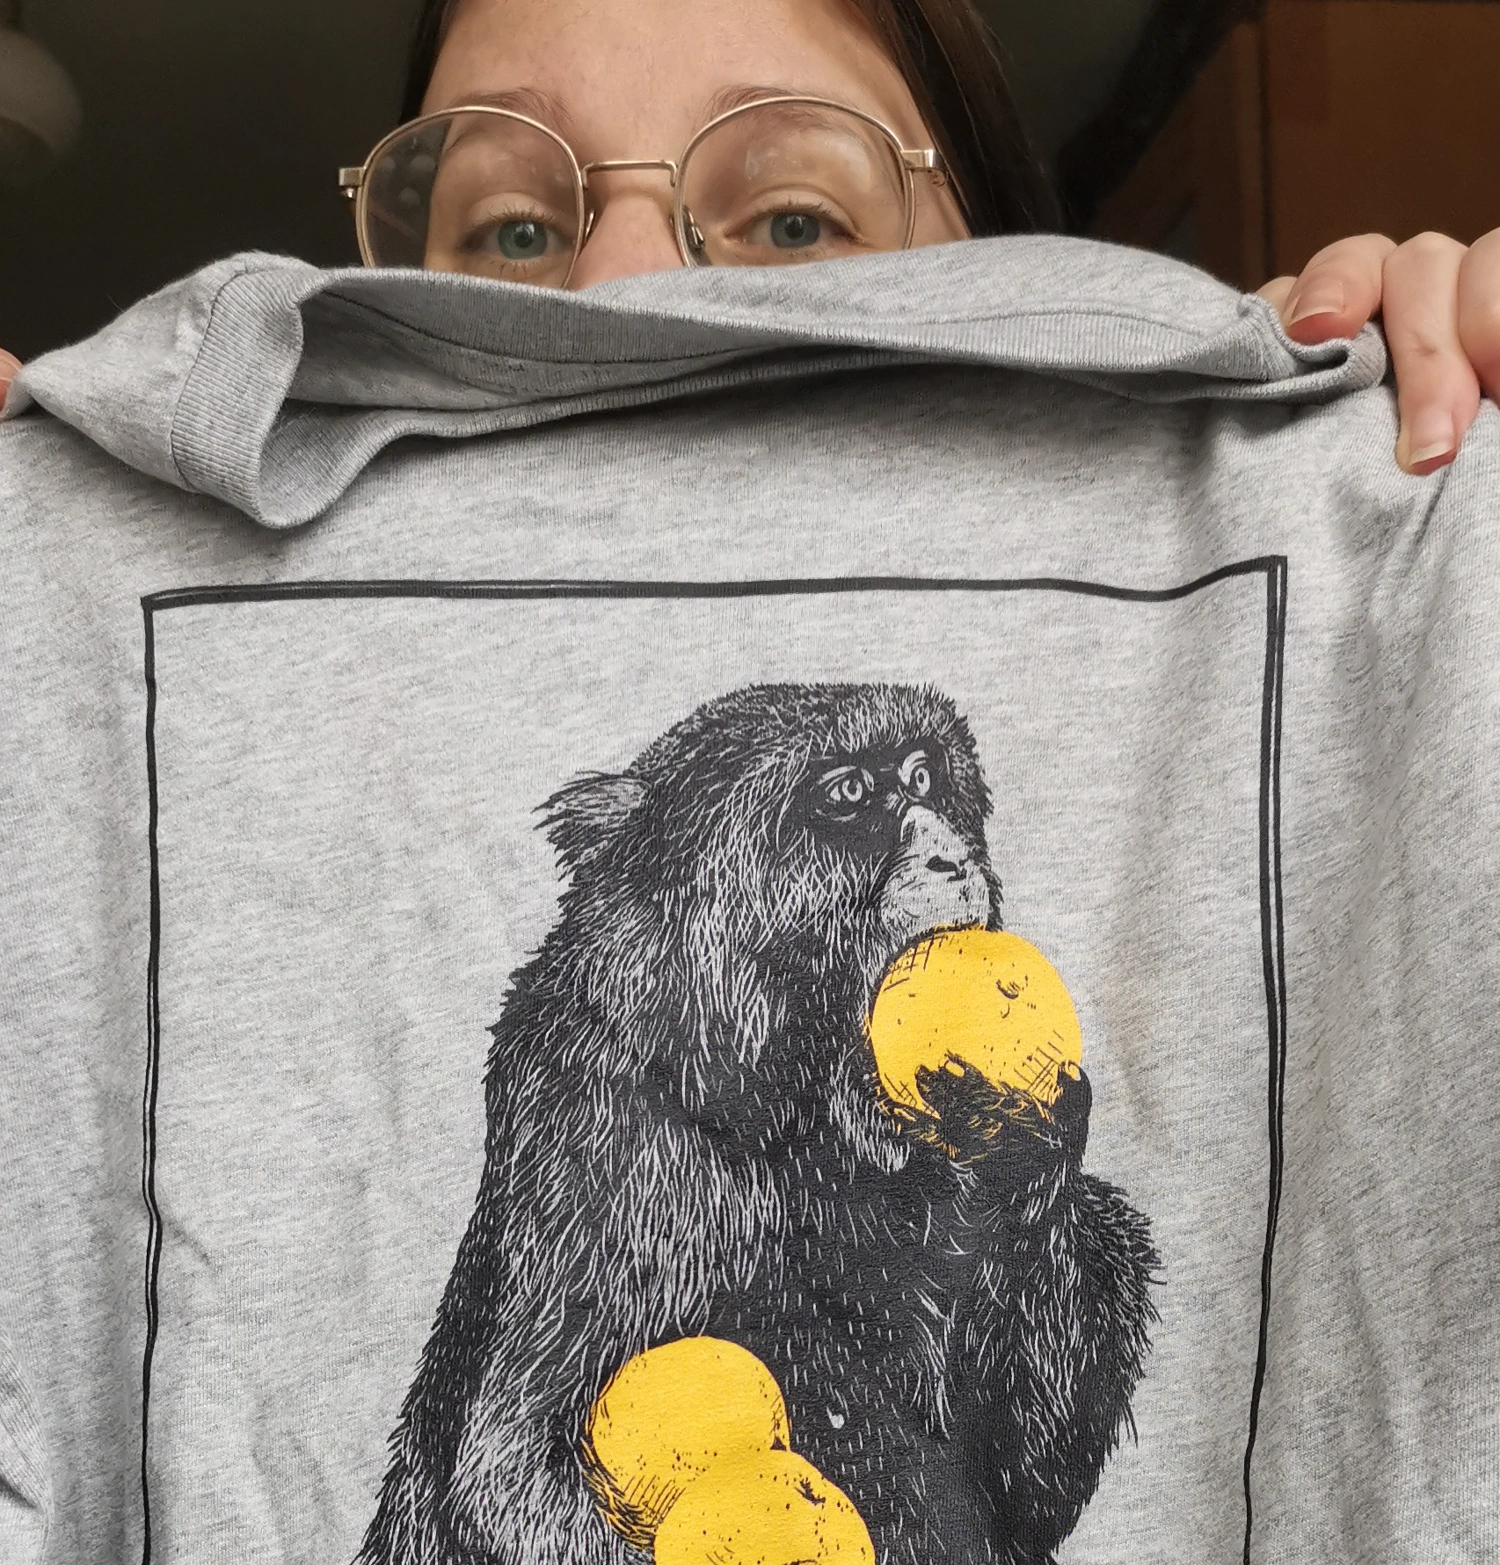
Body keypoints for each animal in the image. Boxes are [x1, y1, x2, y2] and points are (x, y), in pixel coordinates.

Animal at [358, 682, 1158, 1565]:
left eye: (922, 776)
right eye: (850, 793)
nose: (950, 857)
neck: (796, 1109)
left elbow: (1027, 1488)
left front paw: (1029, 1142)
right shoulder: (595, 1129)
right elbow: (508, 1465)